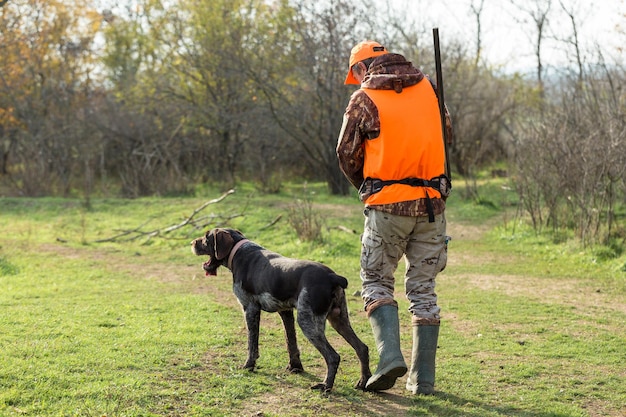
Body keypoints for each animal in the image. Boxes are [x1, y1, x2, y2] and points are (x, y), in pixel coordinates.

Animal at [188, 226, 368, 392]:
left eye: (206, 237)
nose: (191, 243)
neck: (239, 252)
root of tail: (332, 276)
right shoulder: (286, 312)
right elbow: (291, 342)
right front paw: (295, 367)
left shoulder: (250, 309)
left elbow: (252, 344)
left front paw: (249, 365)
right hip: (338, 320)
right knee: (362, 348)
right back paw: (363, 382)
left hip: (308, 322)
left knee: (333, 356)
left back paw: (326, 386)